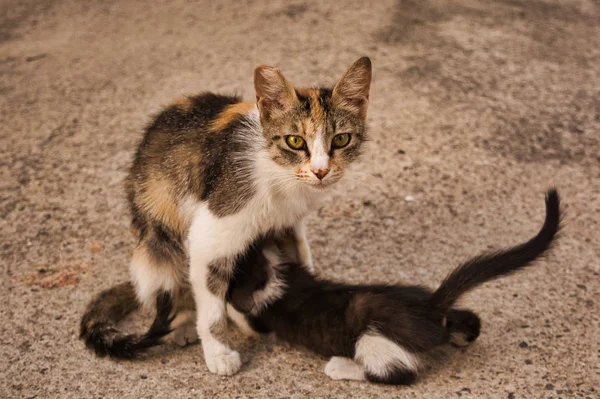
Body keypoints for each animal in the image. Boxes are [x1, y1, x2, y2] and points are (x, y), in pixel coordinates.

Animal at [78, 57, 370, 376]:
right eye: (295, 141)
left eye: (341, 140)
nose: (320, 171)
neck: (279, 174)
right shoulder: (209, 233)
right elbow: (211, 305)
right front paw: (219, 353)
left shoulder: (289, 224)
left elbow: (300, 254)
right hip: (159, 234)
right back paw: (184, 322)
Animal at [226, 192, 564, 386]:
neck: (277, 273)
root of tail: (431, 306)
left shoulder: (261, 311)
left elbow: (244, 315)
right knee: (470, 319)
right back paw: (460, 333)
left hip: (373, 336)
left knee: (397, 374)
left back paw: (343, 367)